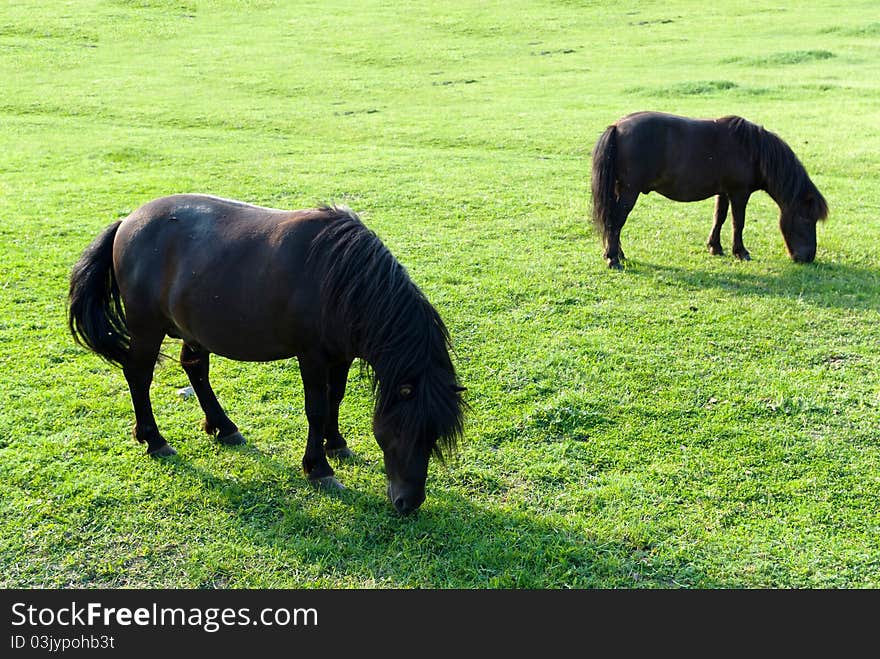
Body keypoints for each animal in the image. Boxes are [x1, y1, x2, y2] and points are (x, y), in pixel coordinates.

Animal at [69, 193, 468, 512]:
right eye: (403, 429)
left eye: (434, 435)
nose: (408, 503)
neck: (341, 279)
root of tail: (127, 221)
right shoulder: (312, 355)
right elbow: (316, 408)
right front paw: (318, 469)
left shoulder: (341, 355)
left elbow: (335, 399)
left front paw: (337, 444)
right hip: (146, 328)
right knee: (138, 376)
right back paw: (154, 440)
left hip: (192, 329)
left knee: (195, 369)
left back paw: (224, 427)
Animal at [588, 112, 828, 270]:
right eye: (806, 219)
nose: (808, 257)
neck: (753, 150)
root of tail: (617, 127)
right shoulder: (739, 193)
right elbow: (738, 223)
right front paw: (741, 252)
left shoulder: (724, 192)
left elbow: (719, 218)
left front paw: (715, 247)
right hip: (630, 191)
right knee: (616, 221)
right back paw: (613, 259)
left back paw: (618, 254)